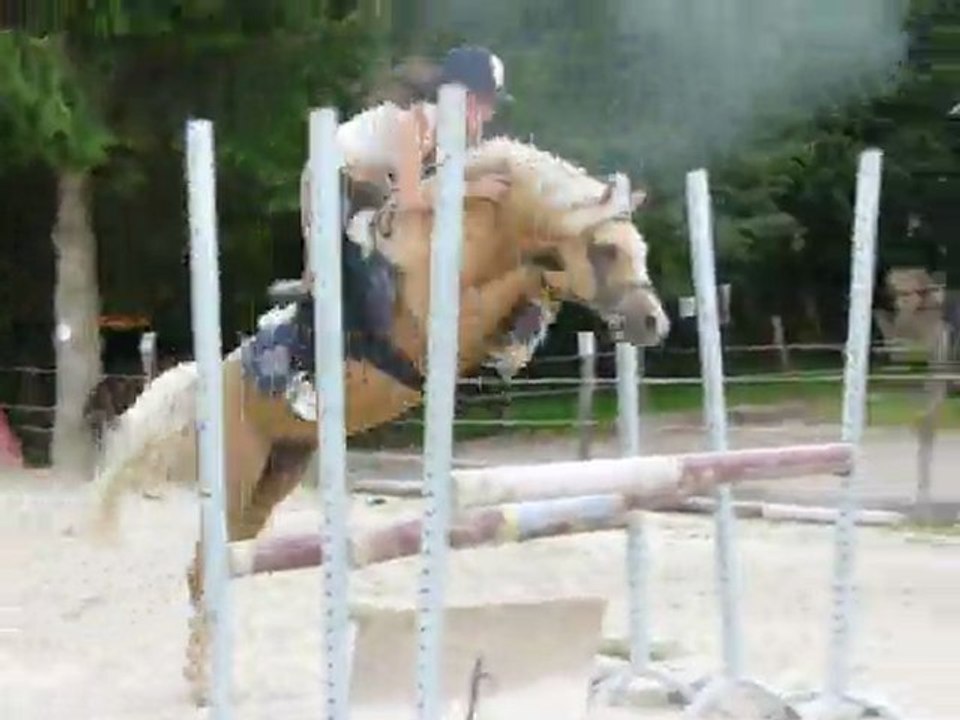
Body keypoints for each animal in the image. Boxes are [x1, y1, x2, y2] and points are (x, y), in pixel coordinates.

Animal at [88, 134, 671, 704]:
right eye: (607, 249)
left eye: (639, 248)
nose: (653, 323)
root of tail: (208, 384)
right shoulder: (436, 329)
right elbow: (506, 286)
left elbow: (527, 293)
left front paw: (529, 321)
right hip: (235, 476)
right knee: (203, 568)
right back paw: (201, 682)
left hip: (276, 476)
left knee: (222, 563)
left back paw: (210, 674)